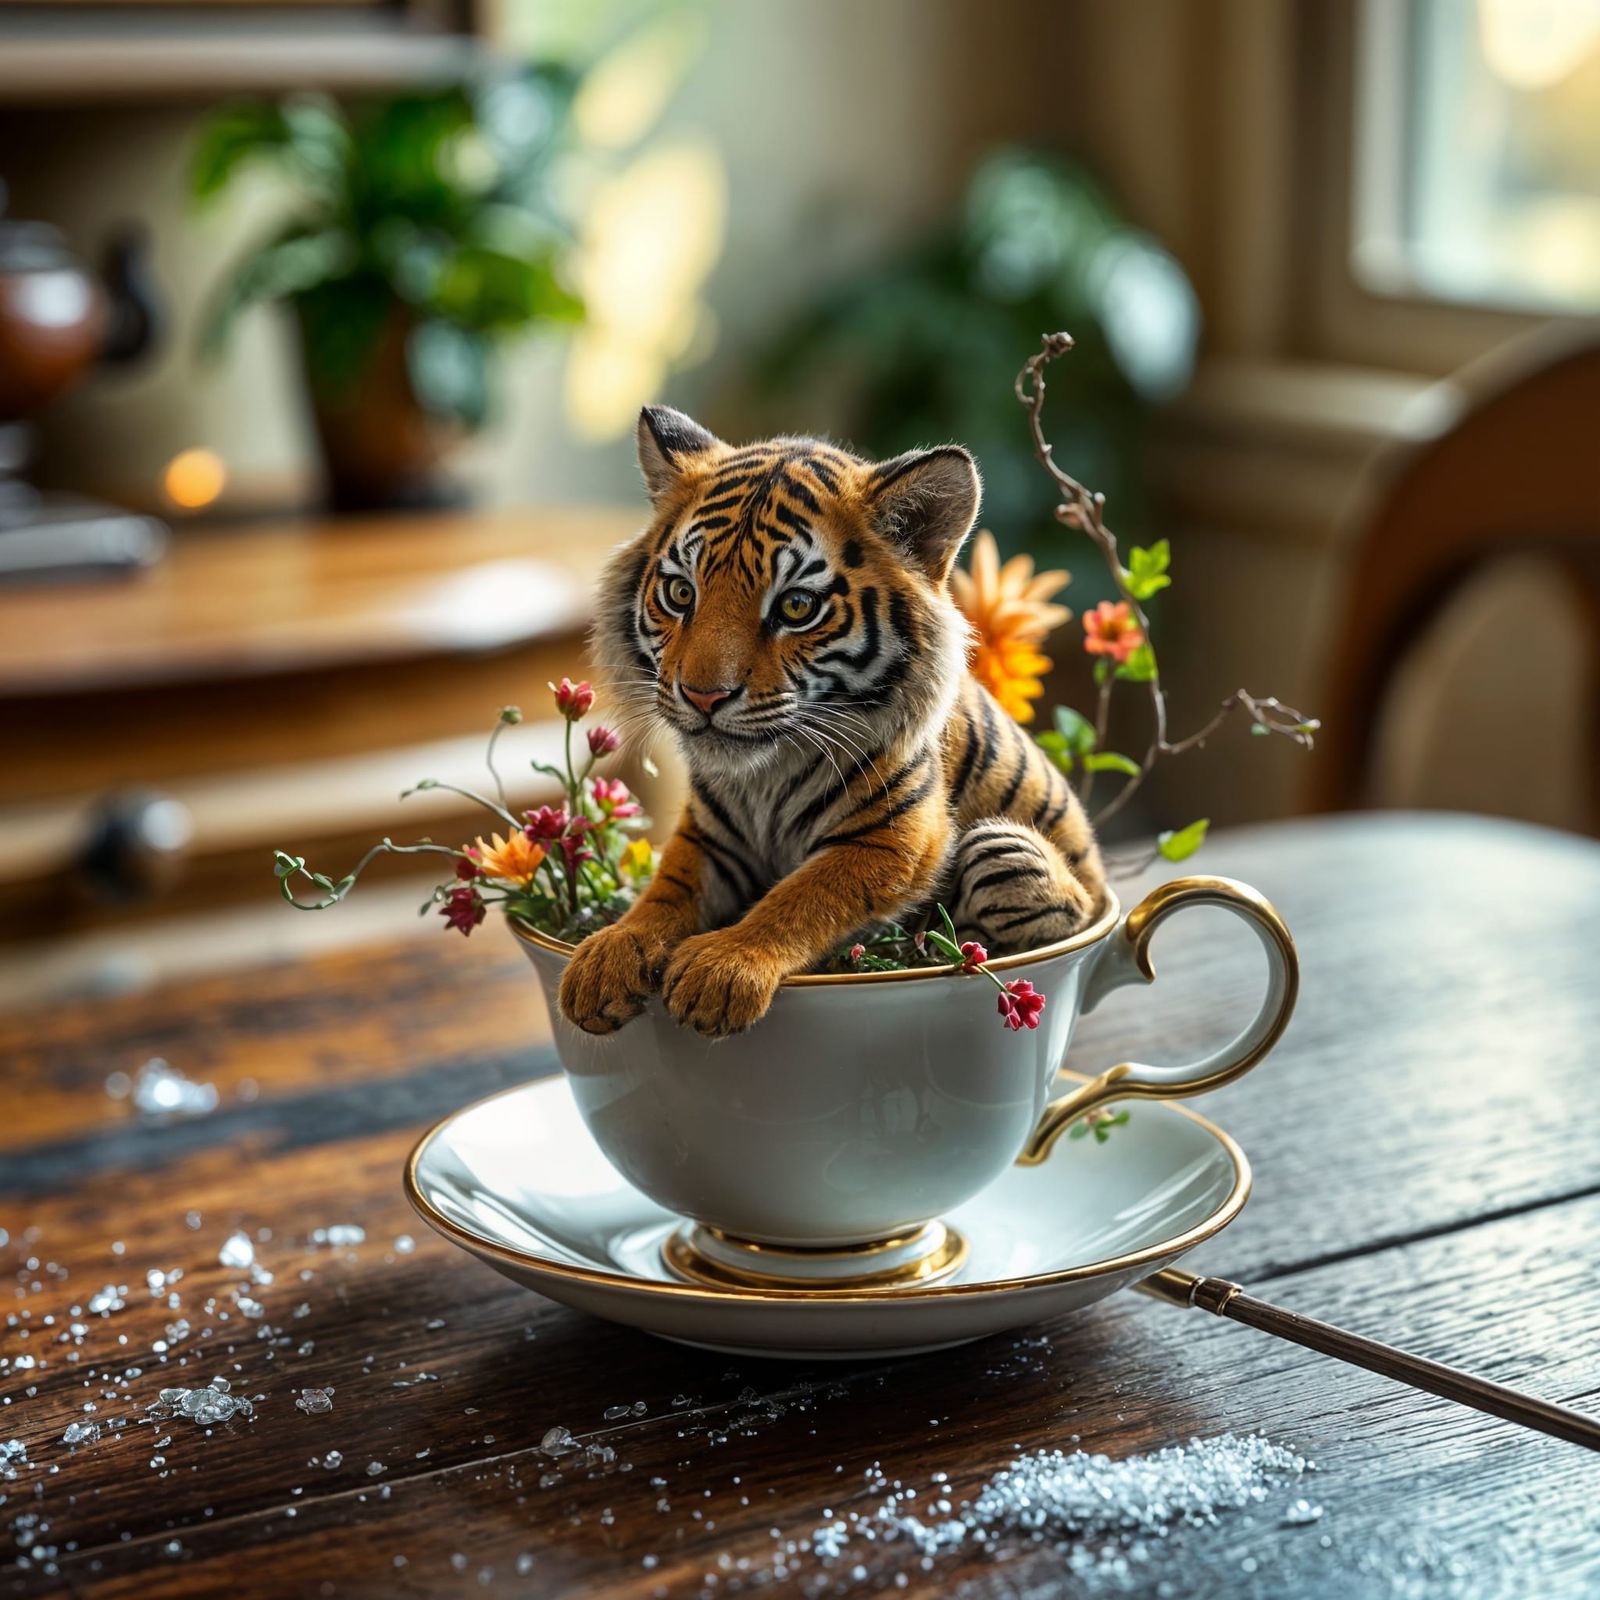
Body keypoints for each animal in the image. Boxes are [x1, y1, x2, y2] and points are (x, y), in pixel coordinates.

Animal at [557, 405, 1106, 1039]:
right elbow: (666, 891)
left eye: (796, 607)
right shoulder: (707, 836)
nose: (702, 696)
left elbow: (801, 896)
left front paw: (721, 969)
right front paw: (607, 955)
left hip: (1004, 849)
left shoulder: (894, 838)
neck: (763, 777)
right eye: (679, 593)